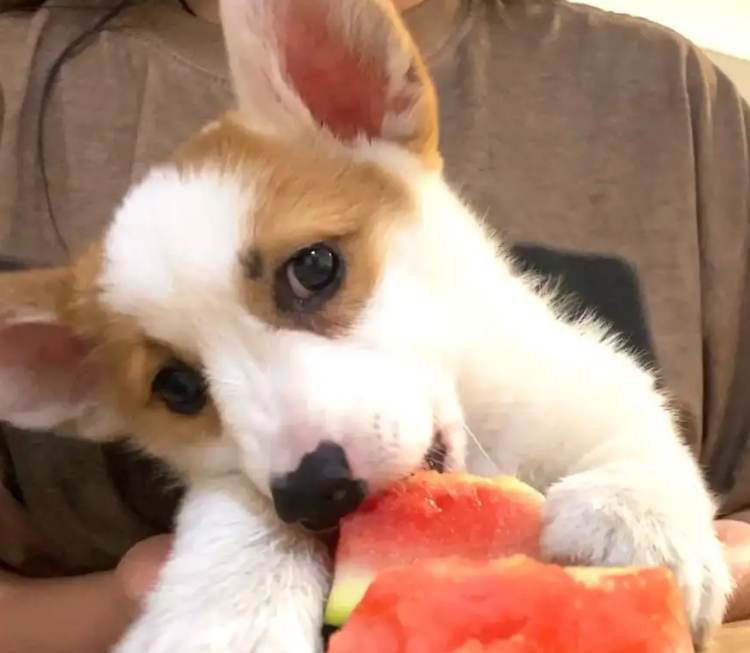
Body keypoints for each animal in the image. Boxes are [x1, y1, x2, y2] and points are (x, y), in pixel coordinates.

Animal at [0, 0, 732, 648]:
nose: (314, 494)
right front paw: (232, 614)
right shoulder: (240, 482)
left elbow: (630, 426)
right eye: (177, 387)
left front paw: (634, 514)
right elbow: (236, 511)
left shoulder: (579, 375)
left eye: (313, 267)